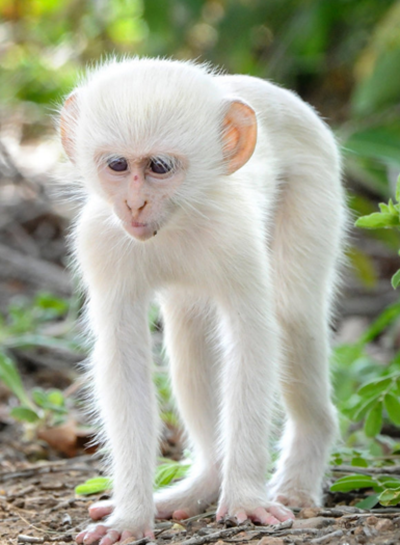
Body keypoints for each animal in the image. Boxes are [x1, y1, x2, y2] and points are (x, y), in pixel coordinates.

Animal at [60, 57, 346, 540]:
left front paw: (246, 498)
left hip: (317, 180)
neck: (175, 221)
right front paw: (131, 514)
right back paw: (204, 481)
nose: (134, 204)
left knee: (294, 316)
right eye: (117, 164)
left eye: (159, 167)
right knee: (190, 334)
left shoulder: (233, 234)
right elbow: (123, 358)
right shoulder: (100, 237)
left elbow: (253, 340)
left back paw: (300, 470)